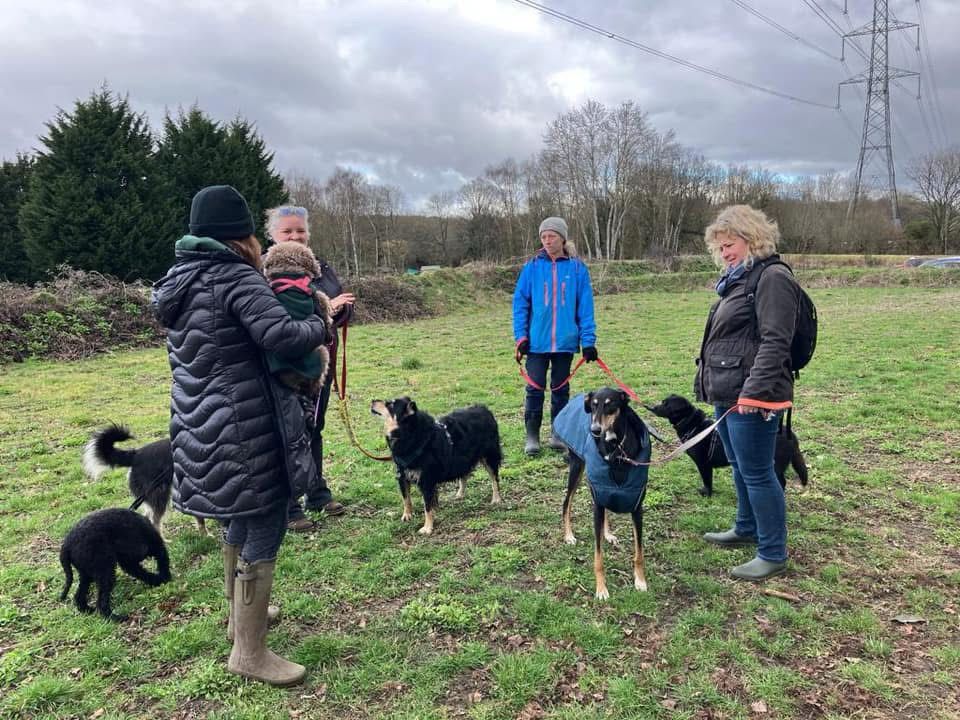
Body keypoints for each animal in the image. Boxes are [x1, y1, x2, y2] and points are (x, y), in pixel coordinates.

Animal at [370, 396, 506, 536]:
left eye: (390, 404)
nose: (372, 400)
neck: (410, 435)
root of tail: (485, 409)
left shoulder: (426, 481)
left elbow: (427, 506)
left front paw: (428, 527)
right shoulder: (402, 476)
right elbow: (406, 498)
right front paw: (407, 515)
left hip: (489, 456)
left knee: (494, 479)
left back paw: (496, 498)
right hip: (462, 458)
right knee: (464, 475)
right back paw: (460, 494)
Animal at [556, 388, 652, 600]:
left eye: (610, 404)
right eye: (593, 405)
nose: (595, 430)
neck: (616, 447)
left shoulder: (637, 508)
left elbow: (639, 553)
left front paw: (640, 581)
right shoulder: (597, 505)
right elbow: (598, 557)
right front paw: (601, 589)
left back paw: (608, 534)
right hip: (577, 468)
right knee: (566, 503)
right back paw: (569, 535)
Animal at [644, 394, 808, 496]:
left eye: (667, 405)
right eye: (662, 401)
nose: (649, 407)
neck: (694, 426)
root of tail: (790, 434)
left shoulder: (704, 464)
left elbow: (707, 480)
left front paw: (707, 494)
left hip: (775, 464)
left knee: (782, 482)